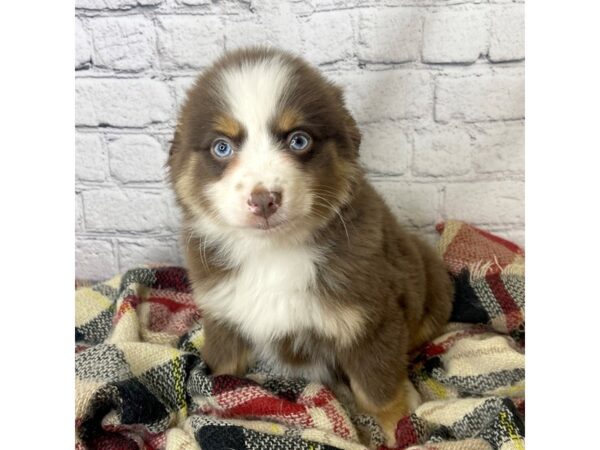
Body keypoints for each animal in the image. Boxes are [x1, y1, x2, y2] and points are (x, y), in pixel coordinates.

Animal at [166, 47, 452, 444]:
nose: (264, 200)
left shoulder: (372, 318)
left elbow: (377, 388)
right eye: (221, 147)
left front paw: (401, 427)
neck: (274, 253)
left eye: (299, 140)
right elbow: (222, 372)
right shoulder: (223, 314)